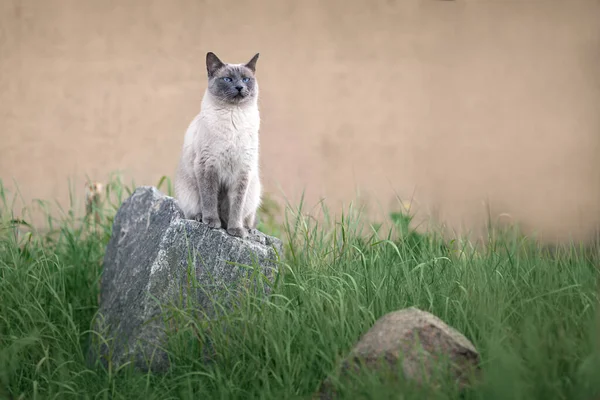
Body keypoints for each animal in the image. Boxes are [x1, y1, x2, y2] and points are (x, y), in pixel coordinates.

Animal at [171, 51, 260, 239]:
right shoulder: (208, 165)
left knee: (246, 217)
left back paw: (246, 229)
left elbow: (236, 207)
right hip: (189, 192)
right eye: (228, 79)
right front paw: (212, 222)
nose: (240, 87)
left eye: (245, 79)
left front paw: (235, 230)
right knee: (195, 209)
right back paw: (202, 218)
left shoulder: (242, 172)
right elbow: (209, 198)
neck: (234, 115)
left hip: (253, 192)